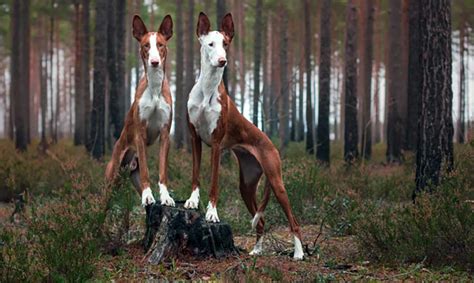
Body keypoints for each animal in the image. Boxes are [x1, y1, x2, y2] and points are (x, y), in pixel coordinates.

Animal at [104, 14, 175, 207]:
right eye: (146, 45)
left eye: (160, 45)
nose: (154, 62)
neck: (155, 88)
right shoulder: (140, 133)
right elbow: (146, 171)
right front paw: (148, 196)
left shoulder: (165, 134)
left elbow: (163, 171)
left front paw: (165, 197)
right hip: (113, 175)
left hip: (130, 177)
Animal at [184, 13, 304, 262]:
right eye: (211, 44)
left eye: (226, 44)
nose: (222, 61)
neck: (207, 89)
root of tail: (272, 146)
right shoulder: (195, 139)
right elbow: (195, 174)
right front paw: (191, 201)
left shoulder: (216, 145)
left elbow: (214, 183)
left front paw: (211, 213)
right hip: (246, 186)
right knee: (261, 221)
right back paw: (257, 250)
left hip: (277, 183)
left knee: (294, 221)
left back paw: (298, 253)